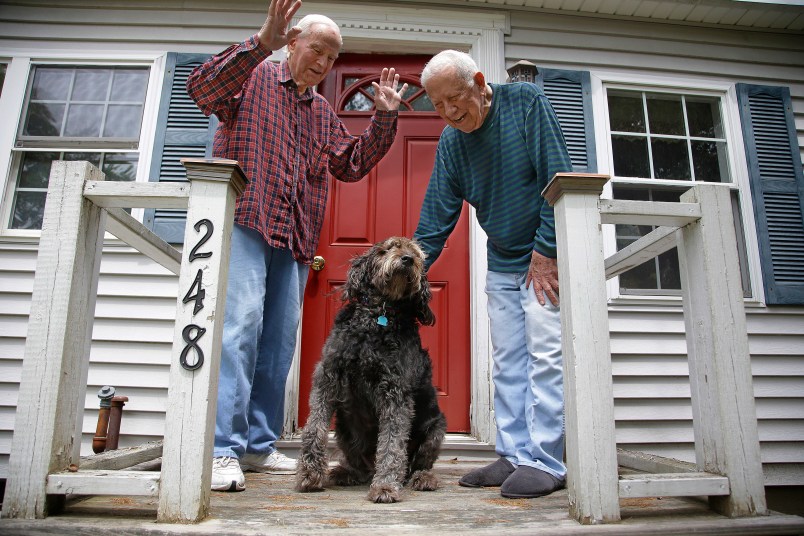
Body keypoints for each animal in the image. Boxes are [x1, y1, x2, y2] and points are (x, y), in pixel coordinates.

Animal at [296, 237, 450, 504]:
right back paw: (348, 472)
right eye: (386, 249)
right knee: (362, 465)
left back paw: (423, 479)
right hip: (345, 427)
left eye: (417, 253)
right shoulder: (328, 377)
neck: (378, 316)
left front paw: (386, 486)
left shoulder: (395, 392)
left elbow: (392, 444)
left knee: (417, 464)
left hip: (435, 430)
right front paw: (309, 474)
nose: (408, 259)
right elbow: (314, 427)